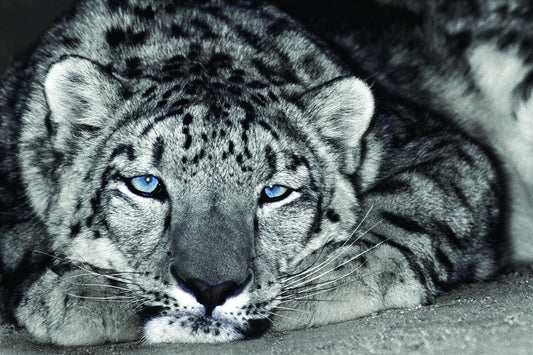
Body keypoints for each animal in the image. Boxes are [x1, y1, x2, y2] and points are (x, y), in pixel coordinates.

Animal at [0, 0, 528, 348]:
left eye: (275, 192)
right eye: (145, 184)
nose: (211, 287)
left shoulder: (437, 142)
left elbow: (414, 200)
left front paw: (341, 274)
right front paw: (75, 288)